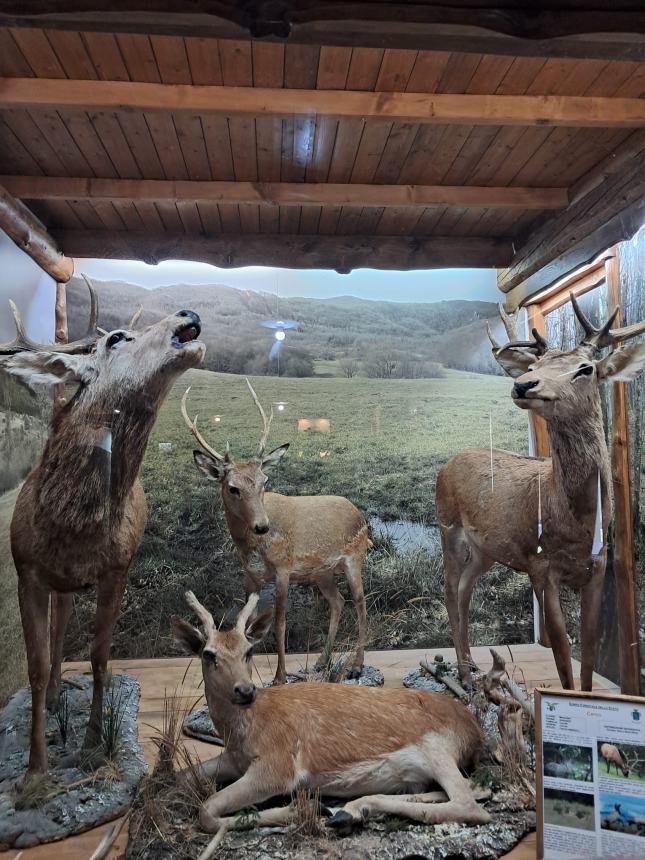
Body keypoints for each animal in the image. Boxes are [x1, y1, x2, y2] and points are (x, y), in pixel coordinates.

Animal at [0, 278, 204, 776]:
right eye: (116, 339)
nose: (188, 312)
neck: (72, 528)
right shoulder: (25, 569)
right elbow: (35, 666)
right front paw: (35, 769)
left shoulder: (117, 568)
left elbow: (97, 654)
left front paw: (93, 743)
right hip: (57, 583)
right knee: (58, 633)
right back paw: (56, 697)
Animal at [169, 592, 490, 832]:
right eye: (208, 654)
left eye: (249, 651)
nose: (245, 690)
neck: (242, 733)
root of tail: (475, 732)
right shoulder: (235, 760)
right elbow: (181, 778)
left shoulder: (278, 766)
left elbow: (206, 811)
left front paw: (302, 809)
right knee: (467, 790)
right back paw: (354, 810)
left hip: (437, 746)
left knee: (470, 804)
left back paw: (347, 810)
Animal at [181, 382, 368, 684]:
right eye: (232, 487)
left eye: (264, 481)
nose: (262, 526)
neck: (253, 547)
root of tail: (361, 516)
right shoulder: (250, 575)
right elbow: (247, 624)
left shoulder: (283, 568)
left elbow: (279, 623)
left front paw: (280, 677)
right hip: (322, 572)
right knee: (338, 602)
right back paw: (321, 662)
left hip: (354, 558)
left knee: (361, 603)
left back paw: (356, 665)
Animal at [432, 296, 644, 692]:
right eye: (535, 365)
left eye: (585, 369)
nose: (523, 384)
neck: (577, 523)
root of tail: (449, 461)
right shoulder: (539, 566)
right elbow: (561, 653)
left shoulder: (599, 568)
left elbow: (587, 653)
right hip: (447, 526)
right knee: (450, 590)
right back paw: (464, 675)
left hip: (486, 549)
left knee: (466, 588)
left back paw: (472, 666)